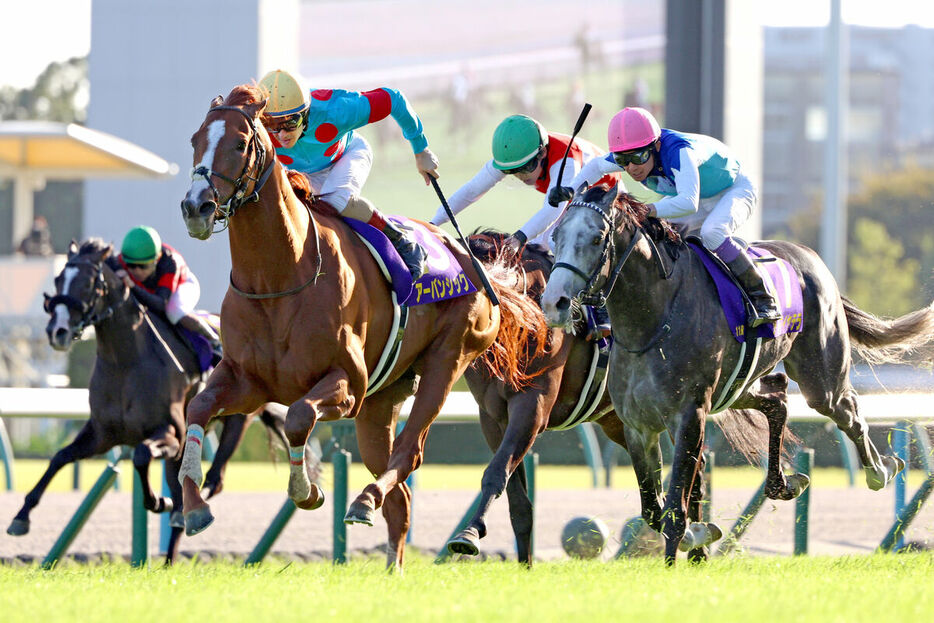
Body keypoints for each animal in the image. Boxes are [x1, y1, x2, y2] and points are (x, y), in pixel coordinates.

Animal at [4, 240, 288, 564]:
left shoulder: (170, 433)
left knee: (213, 480)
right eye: (58, 278)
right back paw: (172, 548)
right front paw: (21, 516)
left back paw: (186, 510)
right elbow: (59, 458)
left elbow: (140, 455)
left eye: (88, 283)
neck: (125, 362)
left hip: (238, 420)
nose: (57, 331)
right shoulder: (102, 434)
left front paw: (156, 500)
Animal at [178, 84, 544, 572]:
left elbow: (299, 416)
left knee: (408, 453)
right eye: (195, 140)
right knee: (400, 495)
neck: (279, 275)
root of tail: (468, 257)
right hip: (382, 399)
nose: (195, 207)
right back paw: (390, 561)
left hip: (446, 361)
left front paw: (306, 490)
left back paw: (364, 500)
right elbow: (198, 409)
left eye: (239, 144)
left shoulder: (347, 383)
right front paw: (194, 506)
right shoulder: (247, 381)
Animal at [446, 233, 628, 564]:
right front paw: (524, 565)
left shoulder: (532, 407)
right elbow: (518, 501)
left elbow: (496, 473)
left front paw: (469, 533)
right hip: (617, 421)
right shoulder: (493, 417)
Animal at [540, 184, 934, 564]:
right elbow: (653, 509)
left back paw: (881, 469)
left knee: (847, 410)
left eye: (596, 238)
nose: (554, 302)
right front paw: (697, 535)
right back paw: (783, 483)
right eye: (556, 235)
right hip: (736, 386)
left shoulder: (690, 414)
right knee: (777, 398)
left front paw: (683, 548)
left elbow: (675, 505)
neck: (651, 321)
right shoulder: (638, 425)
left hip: (819, 375)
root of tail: (810, 256)